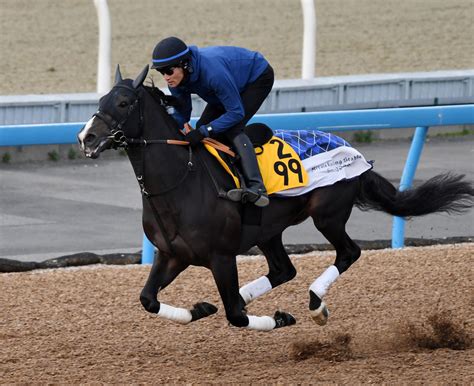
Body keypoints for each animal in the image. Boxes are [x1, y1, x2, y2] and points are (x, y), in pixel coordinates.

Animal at [78, 66, 474, 332]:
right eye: (100, 100)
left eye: (124, 102)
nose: (86, 137)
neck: (181, 182)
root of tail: (356, 152)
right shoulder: (172, 254)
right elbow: (148, 299)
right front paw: (202, 308)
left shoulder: (221, 257)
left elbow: (236, 317)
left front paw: (279, 316)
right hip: (268, 230)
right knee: (284, 269)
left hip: (328, 214)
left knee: (348, 252)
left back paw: (315, 304)